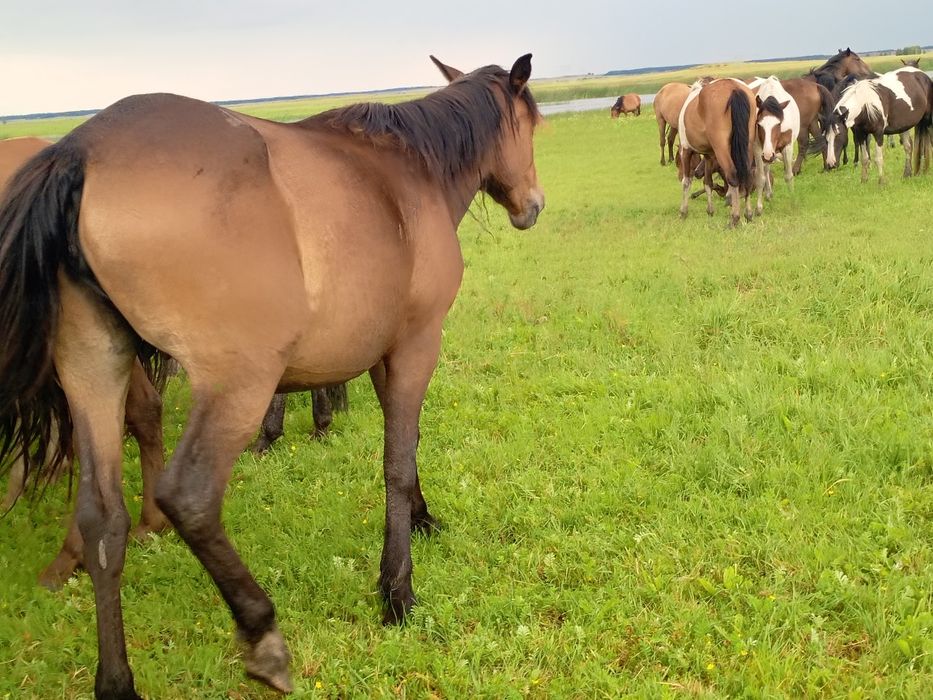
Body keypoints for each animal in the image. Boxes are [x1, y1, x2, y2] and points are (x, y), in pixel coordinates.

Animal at [0, 52, 543, 698]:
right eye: (533, 125)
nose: (533, 204)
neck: (411, 171)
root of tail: (79, 150)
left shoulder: (385, 354)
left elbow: (405, 453)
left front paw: (421, 518)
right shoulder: (417, 344)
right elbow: (396, 460)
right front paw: (397, 592)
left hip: (94, 367)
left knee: (101, 520)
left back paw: (116, 679)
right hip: (237, 386)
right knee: (189, 496)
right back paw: (262, 632)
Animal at [678, 78, 757, 226]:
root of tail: (734, 88)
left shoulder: (686, 150)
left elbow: (686, 182)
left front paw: (683, 212)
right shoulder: (709, 156)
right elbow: (708, 182)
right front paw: (710, 211)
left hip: (722, 149)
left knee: (732, 176)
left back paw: (734, 218)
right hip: (748, 144)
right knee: (749, 175)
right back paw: (748, 214)